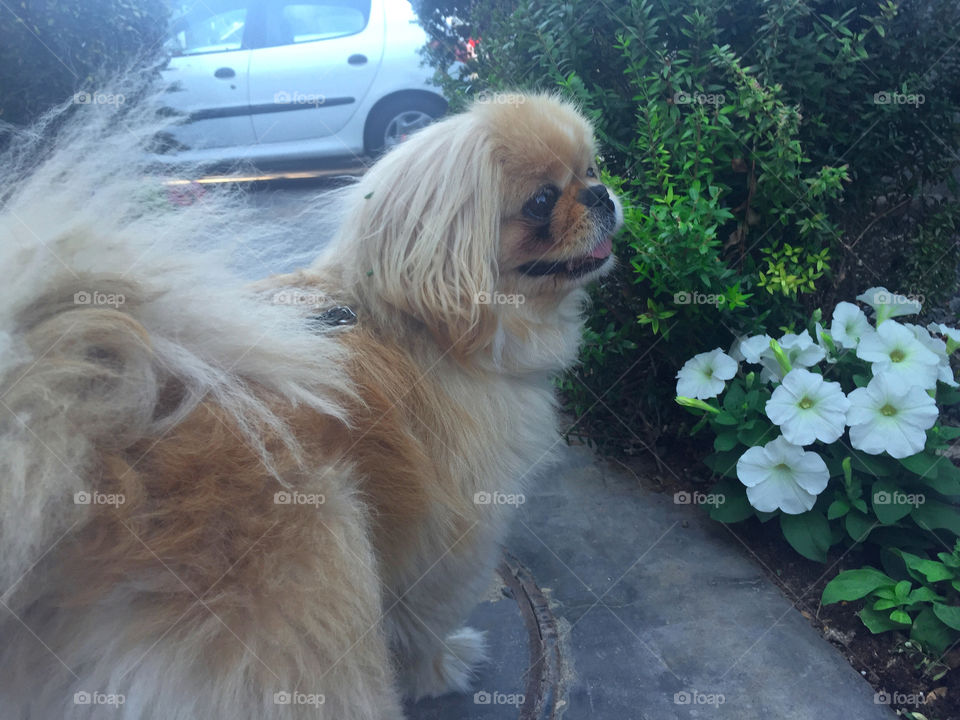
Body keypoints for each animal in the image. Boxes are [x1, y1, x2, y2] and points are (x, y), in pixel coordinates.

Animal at [0, 87, 624, 716]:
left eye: (592, 169)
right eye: (541, 200)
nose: (601, 193)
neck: (431, 330)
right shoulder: (454, 541)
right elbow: (422, 620)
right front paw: (438, 669)